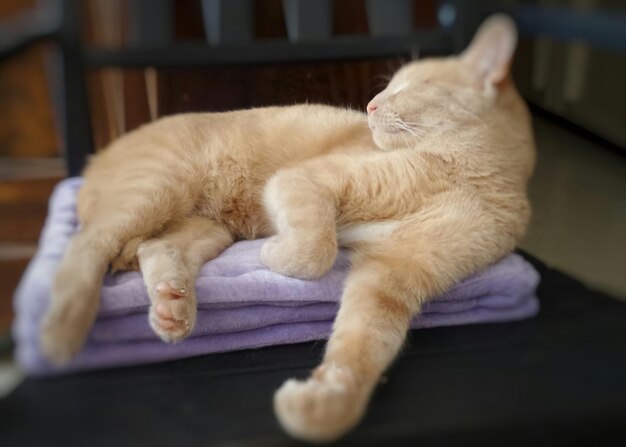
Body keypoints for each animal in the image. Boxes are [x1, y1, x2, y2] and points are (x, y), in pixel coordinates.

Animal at [41, 15, 532, 442]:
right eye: (391, 85)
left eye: (412, 86)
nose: (371, 105)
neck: (467, 176)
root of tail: (96, 159)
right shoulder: (305, 180)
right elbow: (317, 250)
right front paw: (275, 252)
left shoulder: (392, 274)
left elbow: (361, 346)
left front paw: (325, 405)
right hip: (157, 188)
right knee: (85, 246)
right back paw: (61, 333)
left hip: (206, 230)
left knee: (156, 250)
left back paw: (172, 307)